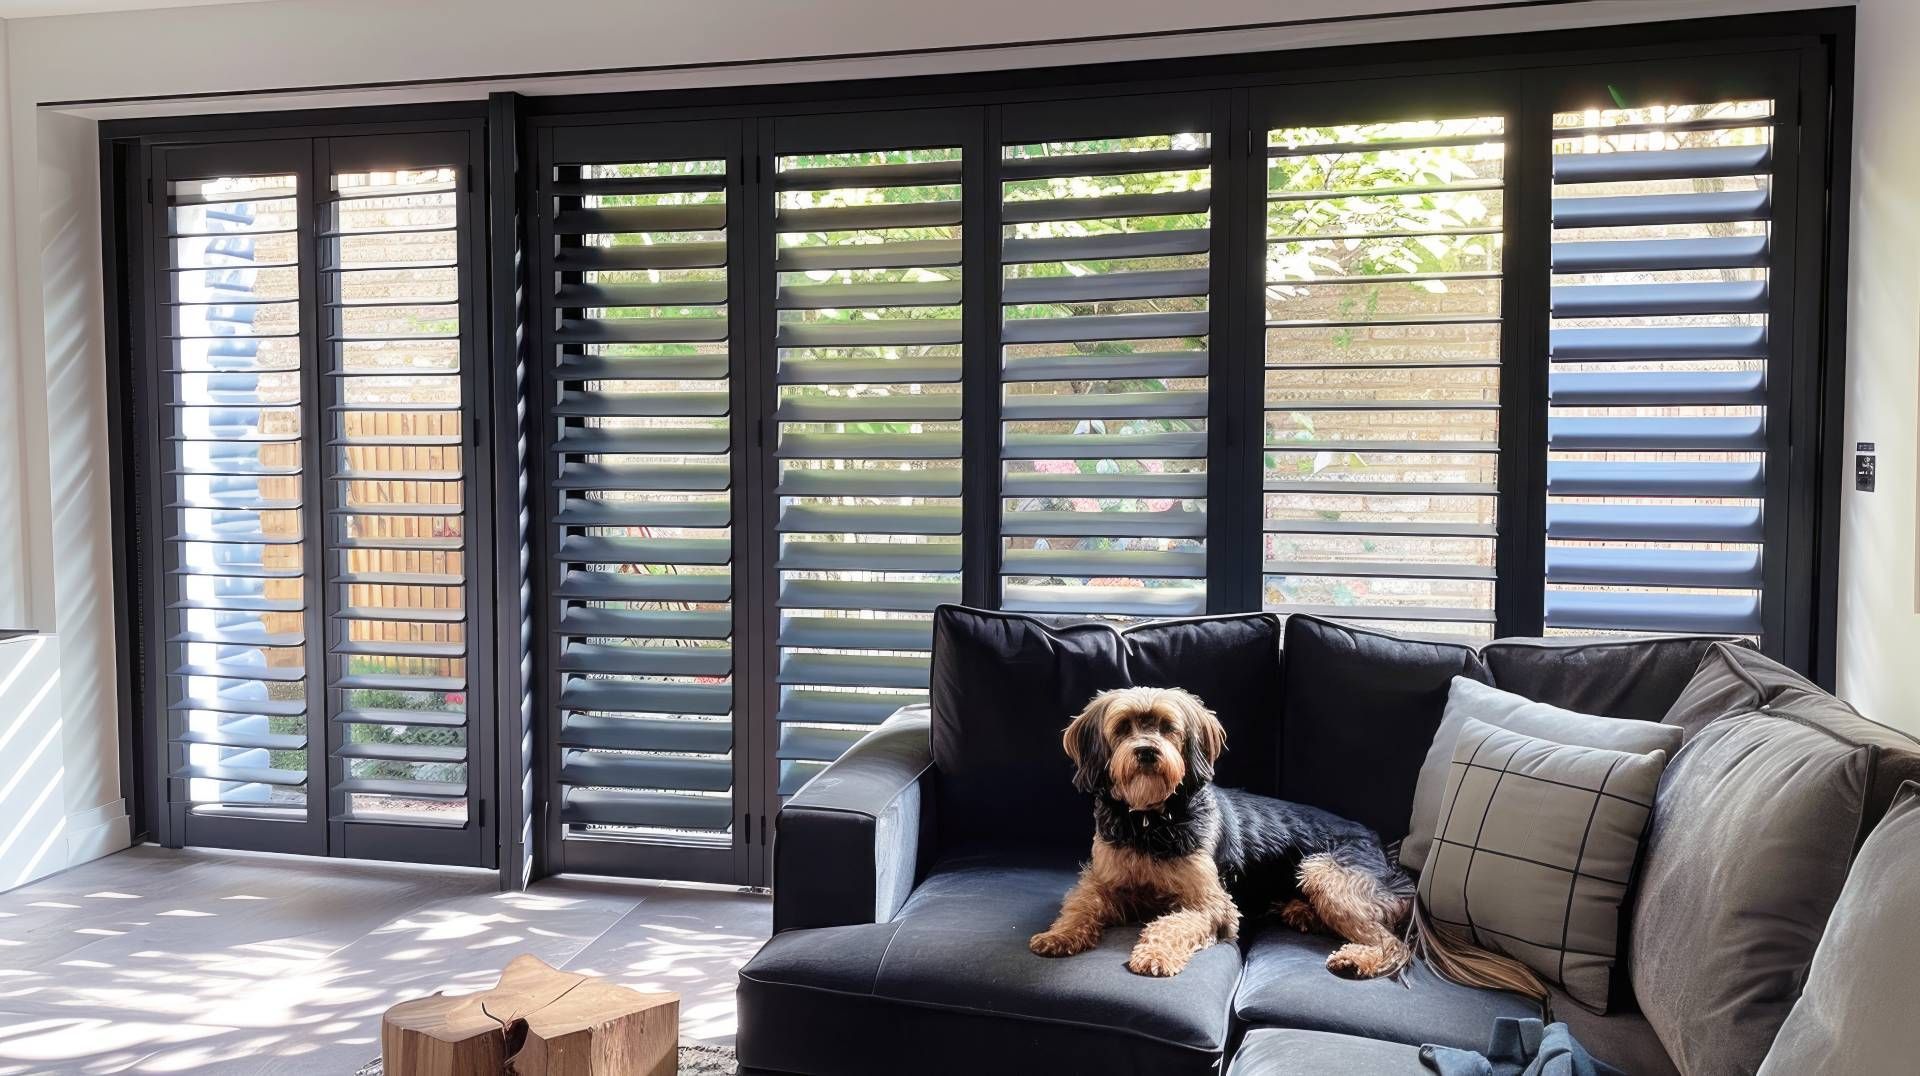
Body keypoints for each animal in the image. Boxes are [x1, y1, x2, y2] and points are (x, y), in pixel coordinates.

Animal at [1029, 687, 1420, 976]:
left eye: (1168, 727)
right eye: (1124, 727)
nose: (1147, 752)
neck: (1150, 820)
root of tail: (1382, 849)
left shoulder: (1212, 903)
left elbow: (1175, 923)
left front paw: (1155, 955)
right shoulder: (1101, 878)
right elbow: (1081, 903)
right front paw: (1059, 934)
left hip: (1325, 872)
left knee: (1393, 943)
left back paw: (1358, 958)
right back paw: (1302, 913)